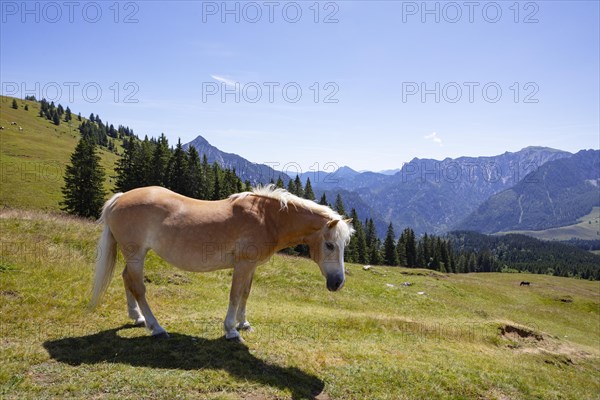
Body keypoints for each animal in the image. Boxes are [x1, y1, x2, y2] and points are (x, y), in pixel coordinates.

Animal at [88, 185, 352, 340]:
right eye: (330, 245)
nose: (338, 282)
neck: (267, 218)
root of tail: (120, 198)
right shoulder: (242, 265)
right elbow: (234, 295)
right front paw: (231, 329)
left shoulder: (251, 266)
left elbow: (245, 294)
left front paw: (243, 323)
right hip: (136, 254)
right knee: (138, 287)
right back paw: (156, 327)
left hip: (134, 256)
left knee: (126, 278)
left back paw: (137, 317)